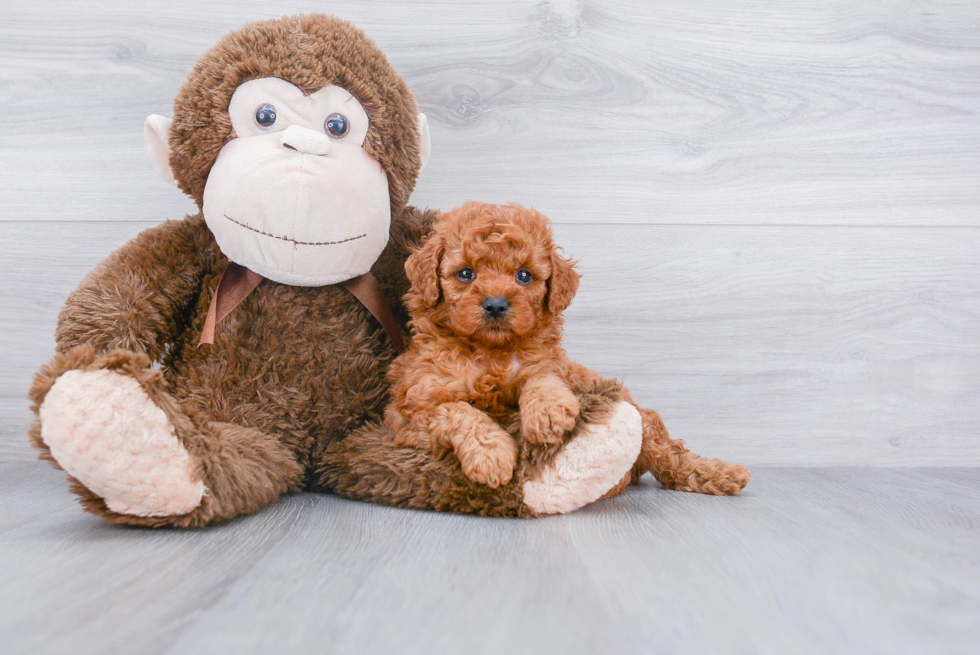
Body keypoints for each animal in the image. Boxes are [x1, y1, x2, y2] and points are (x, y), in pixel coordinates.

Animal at [384, 202, 752, 500]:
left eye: (524, 276)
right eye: (465, 273)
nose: (496, 305)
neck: (492, 352)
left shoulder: (549, 364)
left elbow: (542, 377)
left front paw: (548, 413)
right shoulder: (412, 408)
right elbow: (459, 411)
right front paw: (492, 455)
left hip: (644, 422)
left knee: (671, 456)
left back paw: (721, 474)